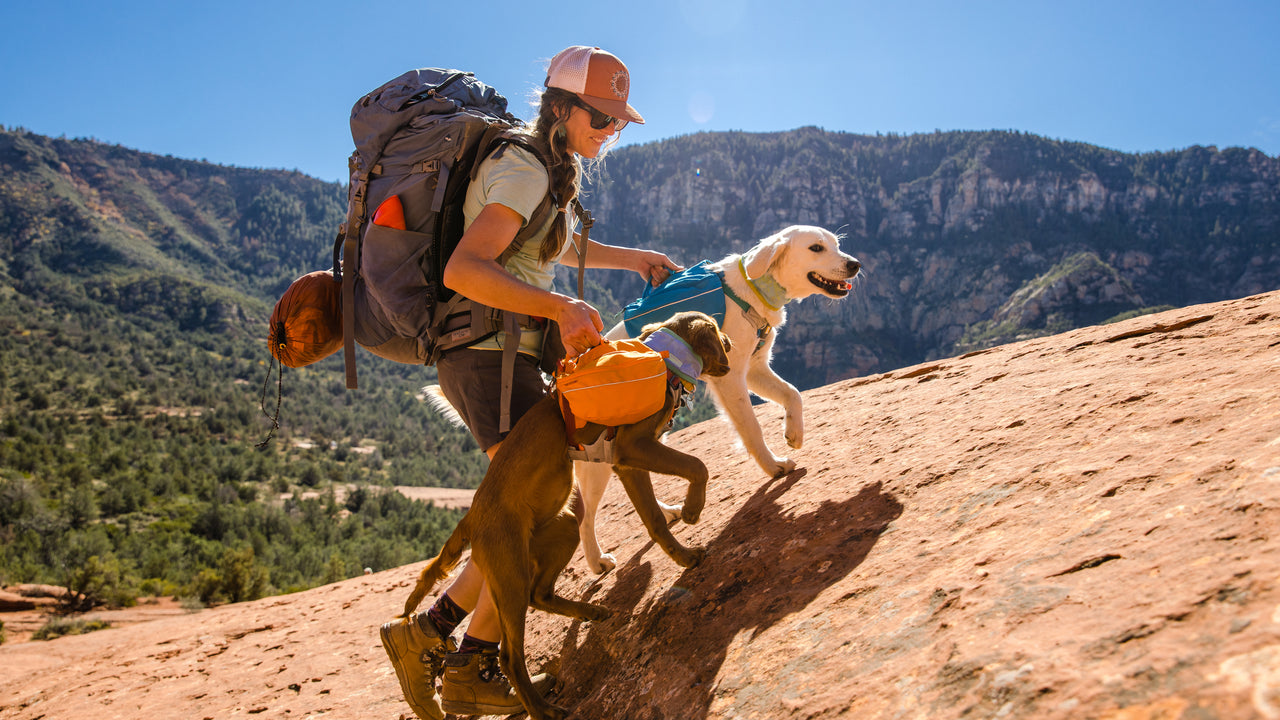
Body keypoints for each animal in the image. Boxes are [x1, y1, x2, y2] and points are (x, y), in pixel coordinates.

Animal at [399, 311, 732, 717]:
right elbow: (697, 466)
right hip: (509, 572)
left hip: (561, 528)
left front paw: (682, 555)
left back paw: (591, 613)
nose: (733, 343)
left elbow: (654, 518)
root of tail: (472, 517)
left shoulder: (626, 463)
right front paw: (692, 511)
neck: (665, 359)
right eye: (718, 332)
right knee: (511, 654)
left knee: (540, 594)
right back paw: (543, 709)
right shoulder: (634, 446)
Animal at [578, 224, 860, 571]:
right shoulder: (731, 377)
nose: (855, 264)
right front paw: (773, 466)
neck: (753, 289)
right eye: (816, 248)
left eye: (836, 244)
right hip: (597, 461)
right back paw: (596, 561)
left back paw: (667, 511)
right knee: (584, 515)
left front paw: (794, 433)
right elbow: (752, 428)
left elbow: (793, 394)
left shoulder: (755, 368)